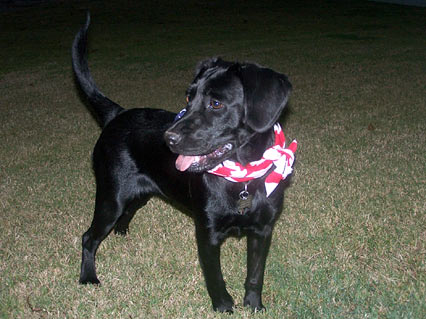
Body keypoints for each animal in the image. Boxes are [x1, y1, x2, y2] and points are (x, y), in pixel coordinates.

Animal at [71, 14, 294, 312]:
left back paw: (121, 230)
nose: (169, 138)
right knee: (89, 237)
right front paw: (224, 306)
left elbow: (255, 274)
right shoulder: (207, 233)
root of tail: (116, 115)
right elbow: (215, 276)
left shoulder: (263, 230)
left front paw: (254, 305)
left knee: (127, 211)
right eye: (189, 98)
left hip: (138, 194)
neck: (242, 180)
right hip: (111, 196)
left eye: (215, 103)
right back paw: (88, 277)